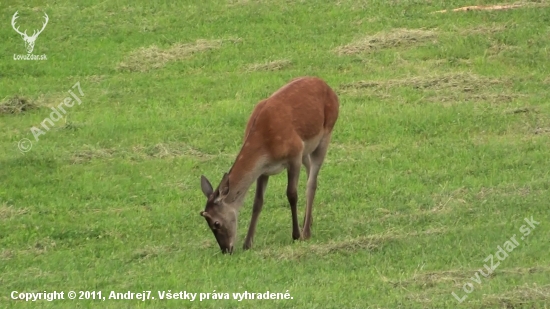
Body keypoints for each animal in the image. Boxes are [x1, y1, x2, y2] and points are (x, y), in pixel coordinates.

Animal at [198, 76, 340, 253]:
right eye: (208, 223)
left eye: (216, 223)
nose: (226, 250)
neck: (266, 144)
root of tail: (328, 87)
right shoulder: (263, 170)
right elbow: (257, 202)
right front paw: (248, 243)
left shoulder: (294, 154)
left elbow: (291, 194)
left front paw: (295, 235)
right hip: (307, 149)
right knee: (309, 170)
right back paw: (309, 220)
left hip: (326, 134)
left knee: (311, 183)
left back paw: (306, 232)